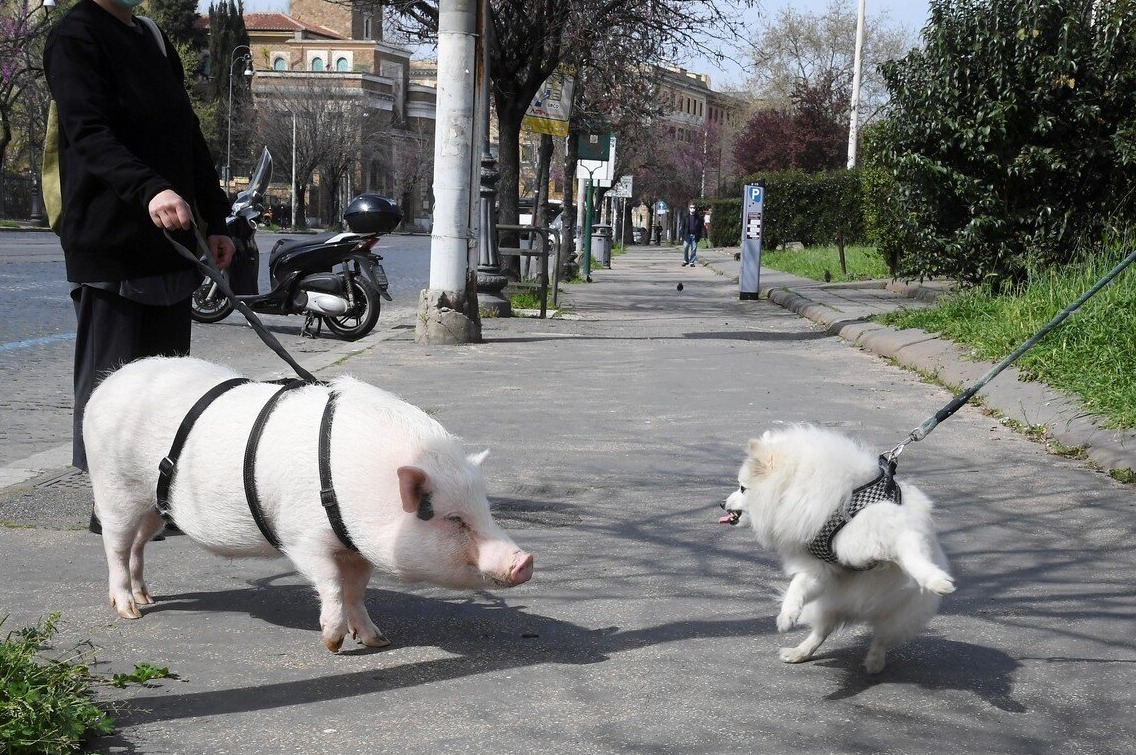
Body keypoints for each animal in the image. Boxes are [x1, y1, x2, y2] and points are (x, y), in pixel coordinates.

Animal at [84, 356, 536, 649]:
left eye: (486, 509)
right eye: (452, 518)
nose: (525, 561)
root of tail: (108, 382)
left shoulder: (357, 545)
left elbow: (357, 589)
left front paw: (377, 640)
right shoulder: (301, 537)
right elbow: (331, 583)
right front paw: (333, 644)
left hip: (154, 506)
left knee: (139, 544)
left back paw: (147, 598)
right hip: (114, 485)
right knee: (115, 545)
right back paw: (129, 611)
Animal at [722, 424, 954, 672]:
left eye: (742, 488)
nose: (722, 503)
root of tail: (860, 610)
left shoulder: (893, 529)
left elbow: (911, 557)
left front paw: (936, 580)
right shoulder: (820, 569)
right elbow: (797, 586)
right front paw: (787, 615)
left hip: (900, 615)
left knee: (881, 637)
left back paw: (874, 661)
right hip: (826, 607)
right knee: (822, 631)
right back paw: (799, 652)